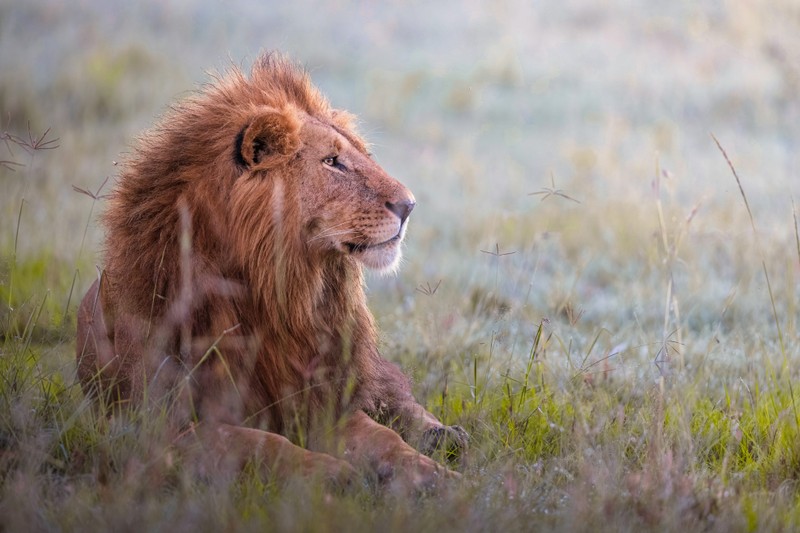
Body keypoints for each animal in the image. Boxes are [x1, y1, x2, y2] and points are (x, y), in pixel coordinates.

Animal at [76, 52, 468, 488]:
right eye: (332, 162)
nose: (410, 205)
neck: (279, 296)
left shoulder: (321, 400)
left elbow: (385, 438)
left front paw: (438, 478)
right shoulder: (162, 430)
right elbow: (260, 443)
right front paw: (334, 474)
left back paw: (445, 436)